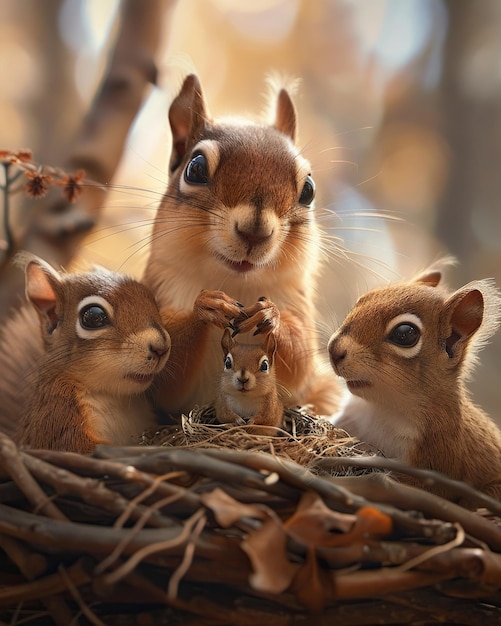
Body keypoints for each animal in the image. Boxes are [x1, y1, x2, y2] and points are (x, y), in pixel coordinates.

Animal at [142, 74, 340, 420]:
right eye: (195, 168)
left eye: (309, 190)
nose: (254, 231)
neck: (233, 280)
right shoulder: (160, 292)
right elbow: (166, 375)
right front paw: (206, 307)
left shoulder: (297, 304)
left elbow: (300, 363)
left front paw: (270, 315)